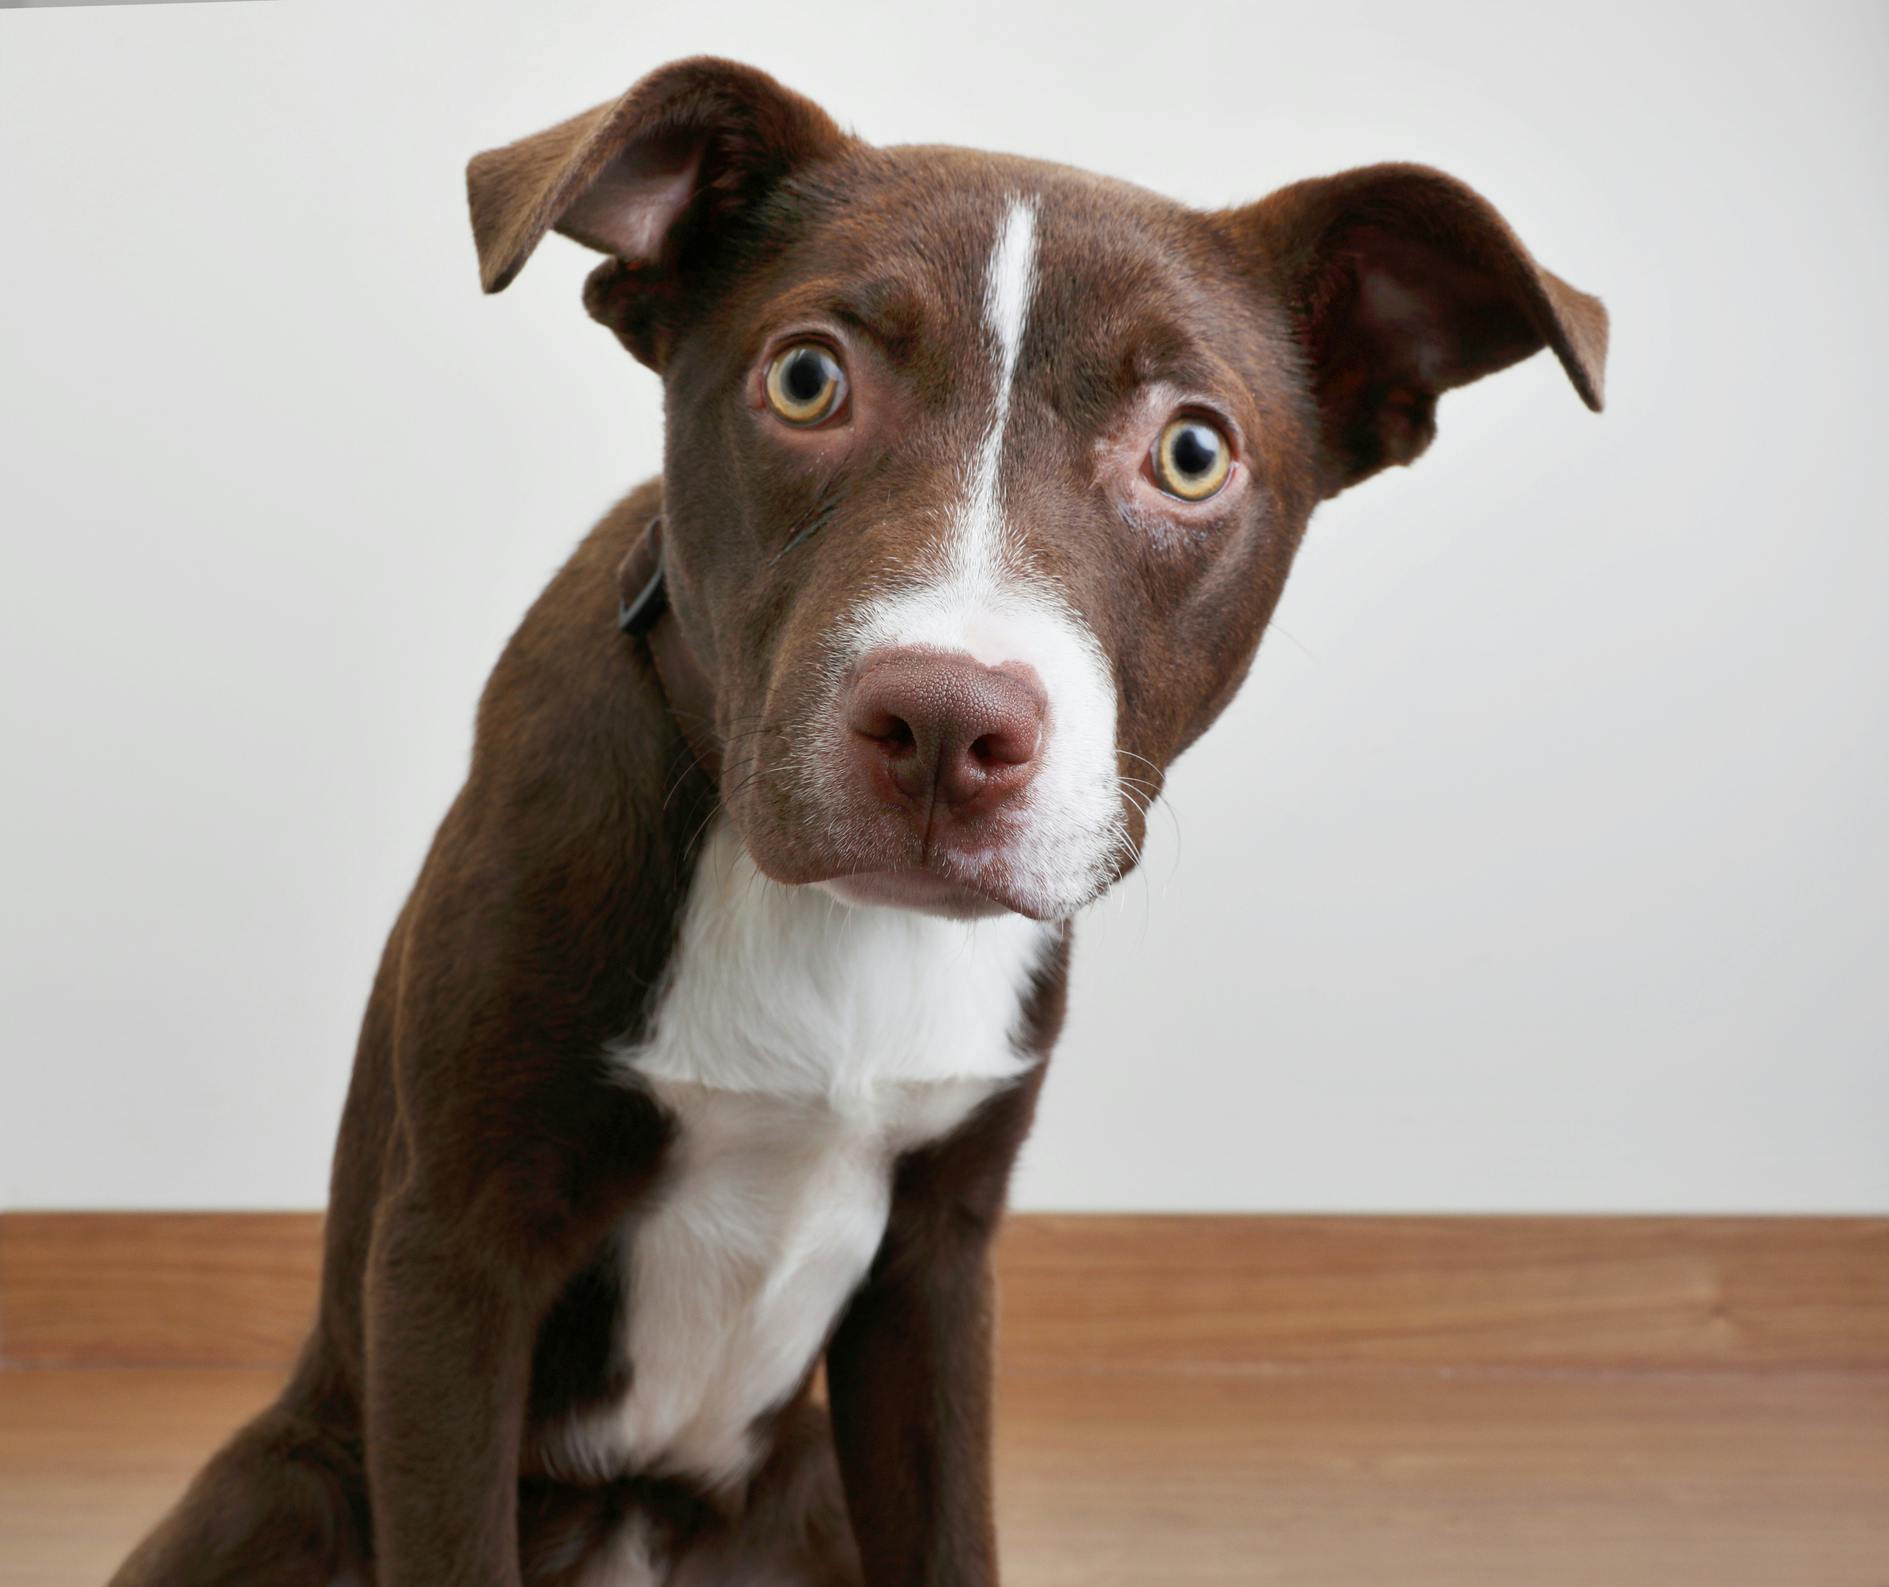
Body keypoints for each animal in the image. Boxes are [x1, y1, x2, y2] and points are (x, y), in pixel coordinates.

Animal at [107, 52, 1609, 1587]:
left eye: (1191, 453)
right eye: (806, 378)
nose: (945, 724)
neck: (831, 919)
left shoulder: (935, 1267)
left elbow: (949, 1531)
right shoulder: (454, 1257)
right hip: (294, 1484)